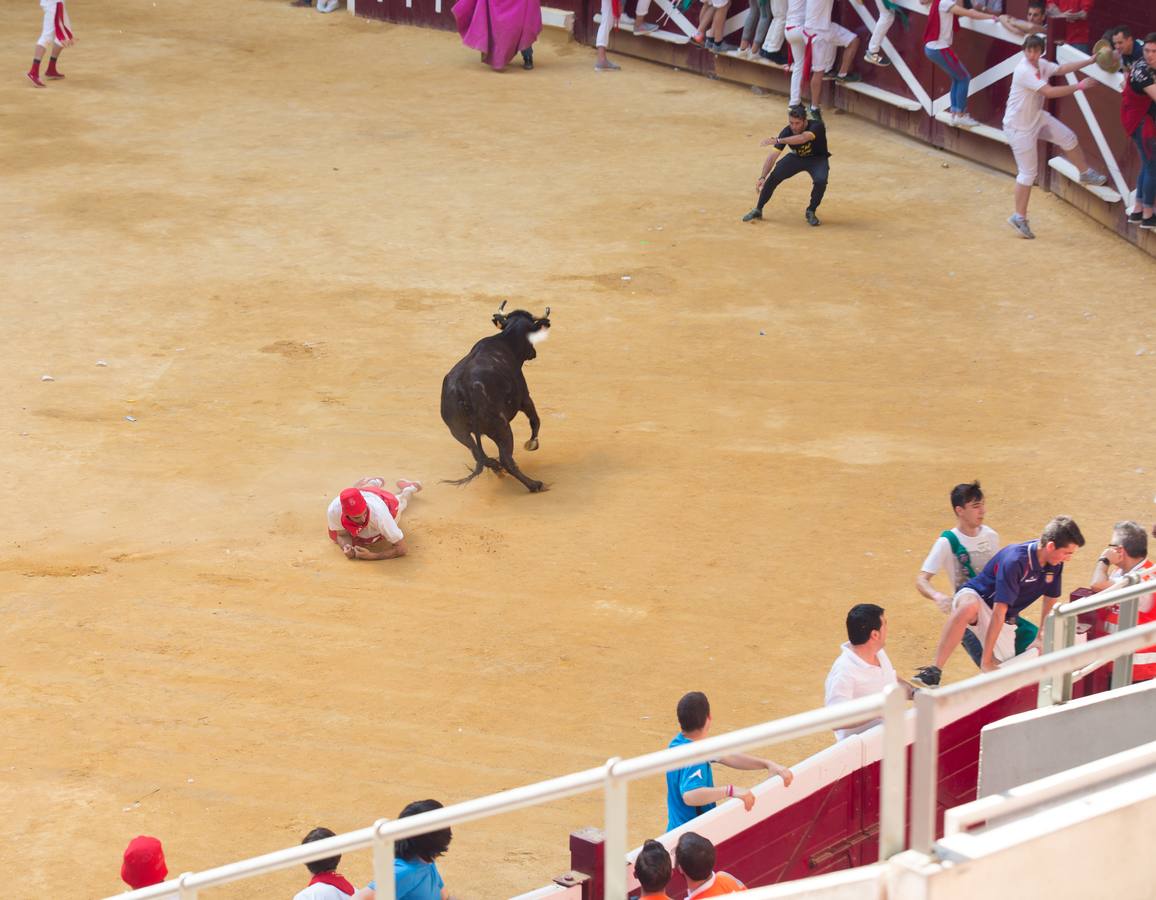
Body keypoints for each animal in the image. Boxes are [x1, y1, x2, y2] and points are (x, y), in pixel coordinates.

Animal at [439, 307, 552, 492]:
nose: (534, 353)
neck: (507, 340)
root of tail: (463, 388)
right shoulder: (525, 398)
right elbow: (535, 420)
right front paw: (532, 444)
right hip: (501, 428)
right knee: (506, 459)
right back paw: (534, 484)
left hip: (458, 432)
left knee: (479, 456)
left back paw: (498, 469)